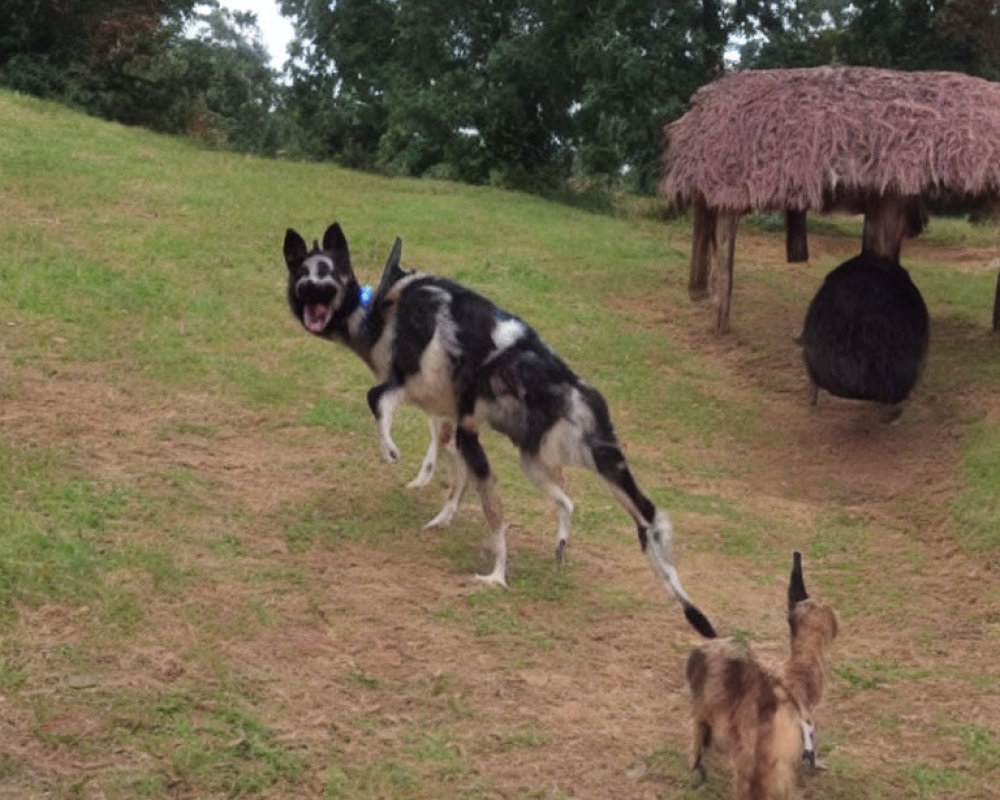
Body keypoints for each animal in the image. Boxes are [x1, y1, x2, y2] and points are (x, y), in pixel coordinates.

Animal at [282, 220, 716, 636]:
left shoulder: (423, 394)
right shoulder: (453, 421)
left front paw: (391, 450)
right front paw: (436, 508)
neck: (379, 311)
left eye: (328, 272)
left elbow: (378, 401)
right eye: (301, 271)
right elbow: (451, 476)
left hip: (579, 459)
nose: (310, 288)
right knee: (573, 503)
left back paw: (499, 577)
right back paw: (565, 548)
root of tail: (580, 392)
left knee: (645, 518)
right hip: (539, 460)